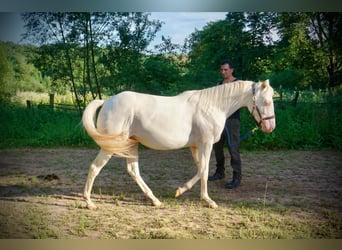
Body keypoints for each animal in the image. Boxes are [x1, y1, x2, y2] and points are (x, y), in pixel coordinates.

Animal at [82, 80, 276, 209]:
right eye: (266, 102)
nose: (270, 127)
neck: (213, 106)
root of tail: (106, 101)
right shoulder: (205, 144)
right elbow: (204, 170)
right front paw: (208, 200)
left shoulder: (196, 146)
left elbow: (200, 169)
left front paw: (180, 191)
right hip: (111, 146)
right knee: (94, 168)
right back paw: (89, 202)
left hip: (131, 145)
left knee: (133, 171)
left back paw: (155, 200)